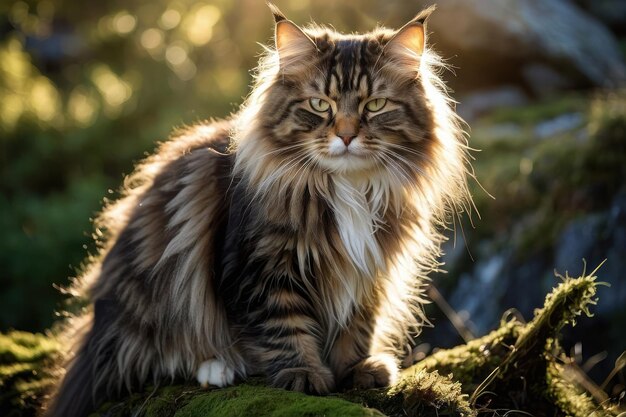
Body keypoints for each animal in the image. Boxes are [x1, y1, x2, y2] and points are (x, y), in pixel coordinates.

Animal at [45, 4, 468, 416]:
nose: (347, 136)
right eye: (319, 104)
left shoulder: (369, 268)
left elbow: (357, 325)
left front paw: (356, 369)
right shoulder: (262, 266)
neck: (348, 188)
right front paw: (303, 373)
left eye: (375, 105)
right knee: (153, 357)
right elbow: (283, 326)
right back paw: (218, 368)